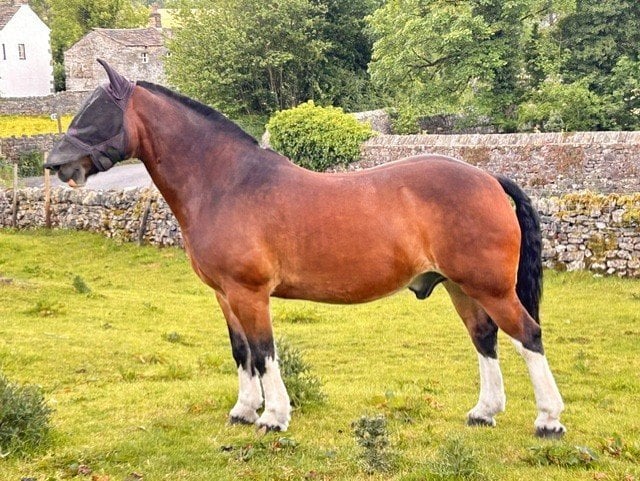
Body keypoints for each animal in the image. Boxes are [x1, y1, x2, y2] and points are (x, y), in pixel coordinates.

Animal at [45, 59, 565, 437]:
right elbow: (241, 352)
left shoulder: (250, 293)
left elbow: (263, 352)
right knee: (485, 337)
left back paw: (548, 420)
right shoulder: (225, 295)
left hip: (491, 287)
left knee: (528, 335)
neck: (225, 183)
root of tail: (489, 178)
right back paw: (484, 412)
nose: (53, 163)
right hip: (461, 287)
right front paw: (243, 410)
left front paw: (273, 417)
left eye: (96, 113)